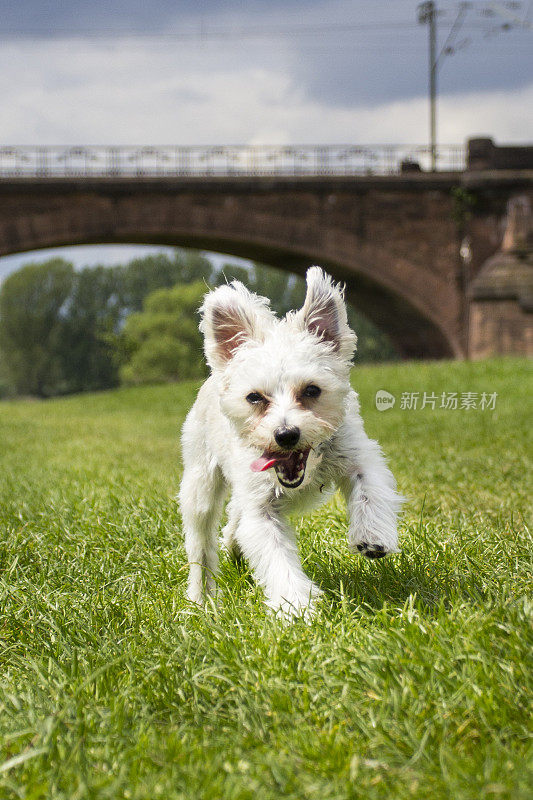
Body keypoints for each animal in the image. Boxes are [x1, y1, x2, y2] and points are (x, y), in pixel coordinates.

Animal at [178, 268, 400, 620]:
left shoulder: (358, 453)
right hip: (200, 485)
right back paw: (201, 600)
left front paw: (372, 535)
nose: (286, 434)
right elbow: (277, 558)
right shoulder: (261, 508)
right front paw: (296, 608)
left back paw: (232, 548)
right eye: (254, 397)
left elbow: (370, 490)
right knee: (201, 547)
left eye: (312, 390)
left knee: (234, 516)